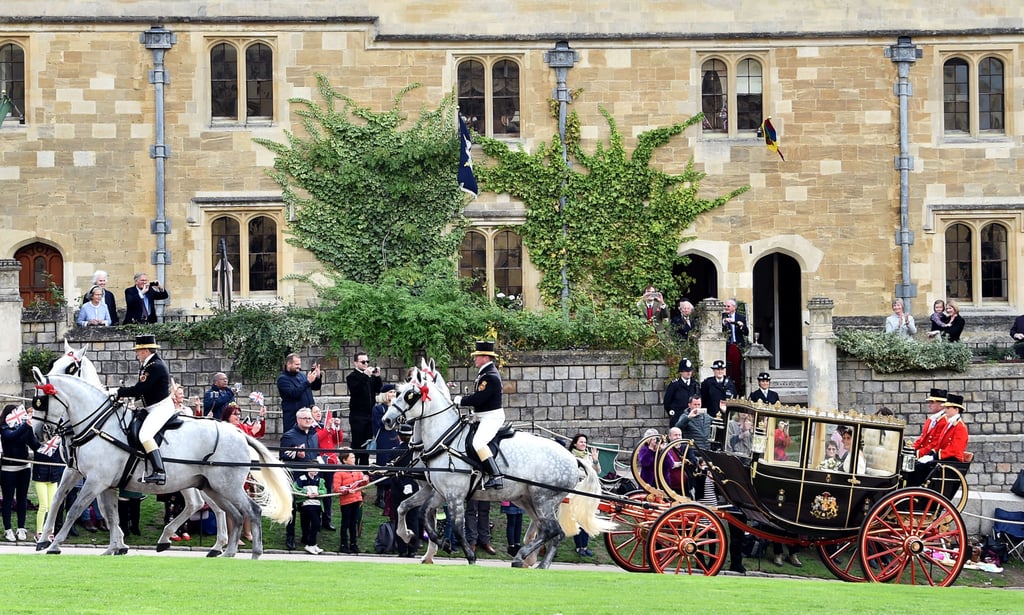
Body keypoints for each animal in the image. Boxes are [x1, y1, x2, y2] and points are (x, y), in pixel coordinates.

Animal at [29, 366, 292, 560]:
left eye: (40, 401)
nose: (38, 433)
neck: (98, 423)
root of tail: (238, 433)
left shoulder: (96, 480)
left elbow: (76, 509)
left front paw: (55, 544)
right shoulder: (85, 476)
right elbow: (98, 510)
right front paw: (113, 546)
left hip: (225, 486)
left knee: (249, 510)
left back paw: (252, 552)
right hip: (211, 486)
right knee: (230, 513)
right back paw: (223, 551)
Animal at [382, 362, 606, 568]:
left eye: (410, 395)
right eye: (398, 392)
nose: (387, 420)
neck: (445, 439)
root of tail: (571, 457)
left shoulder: (453, 494)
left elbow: (455, 526)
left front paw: (467, 555)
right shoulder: (439, 492)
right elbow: (413, 510)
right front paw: (413, 537)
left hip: (544, 500)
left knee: (552, 530)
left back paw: (528, 558)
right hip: (529, 500)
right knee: (549, 531)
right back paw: (533, 561)